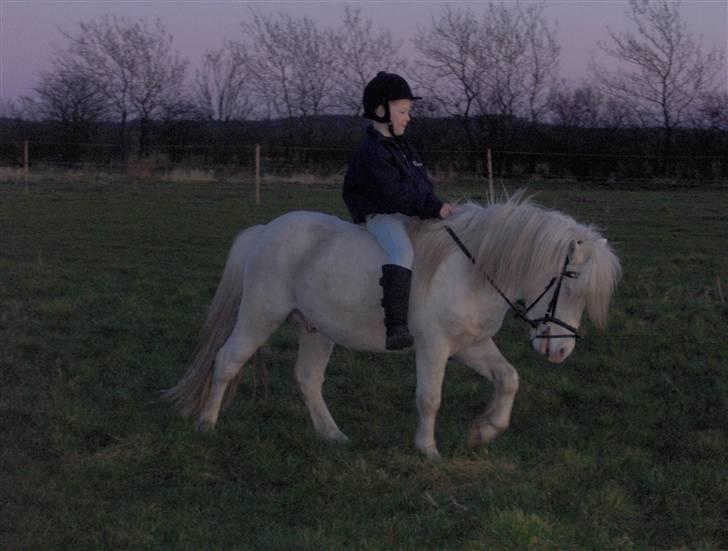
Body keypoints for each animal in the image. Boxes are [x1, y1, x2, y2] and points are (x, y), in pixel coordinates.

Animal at [164, 196, 620, 460]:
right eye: (572, 283)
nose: (561, 352)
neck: (471, 270)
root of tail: (265, 231)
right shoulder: (435, 347)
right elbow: (430, 398)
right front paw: (428, 450)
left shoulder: (472, 344)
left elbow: (509, 379)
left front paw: (483, 432)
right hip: (261, 314)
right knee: (227, 361)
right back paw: (206, 425)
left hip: (316, 329)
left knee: (308, 379)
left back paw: (332, 436)